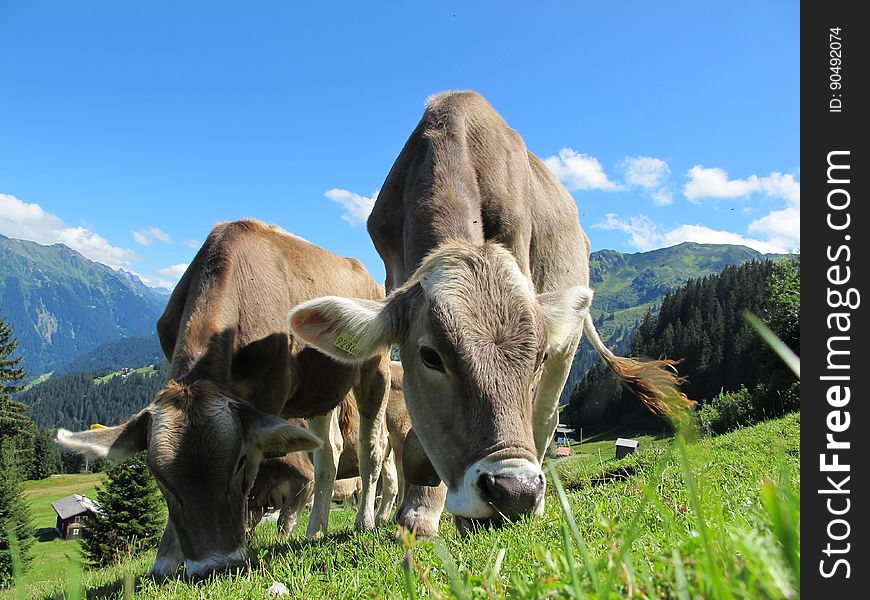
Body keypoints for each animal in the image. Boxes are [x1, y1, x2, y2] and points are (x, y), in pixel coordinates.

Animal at [56, 220, 390, 576]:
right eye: (158, 476)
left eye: (239, 462)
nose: (212, 566)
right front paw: (166, 560)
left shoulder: (269, 394)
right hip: (319, 390)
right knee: (329, 451)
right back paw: (316, 530)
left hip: (374, 368)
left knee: (372, 447)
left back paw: (365, 521)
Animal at [290, 91, 692, 536]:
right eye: (430, 356)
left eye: (537, 357)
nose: (515, 491)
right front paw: (419, 513)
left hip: (568, 344)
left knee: (546, 417)